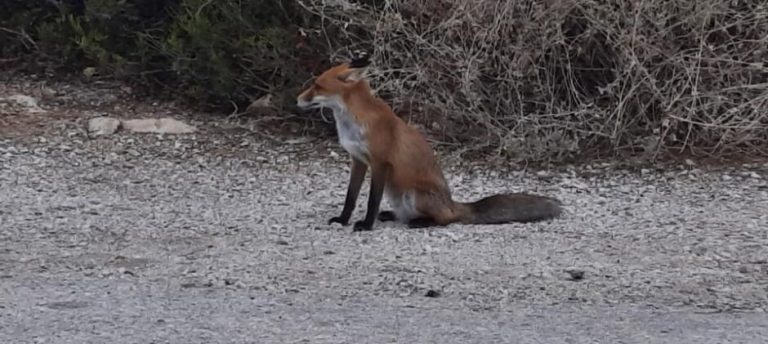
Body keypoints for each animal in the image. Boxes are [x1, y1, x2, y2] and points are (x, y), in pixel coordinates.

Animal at [296, 53, 560, 231]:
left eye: (317, 85)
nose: (297, 100)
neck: (353, 122)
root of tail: (452, 204)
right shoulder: (358, 160)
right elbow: (350, 197)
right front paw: (343, 220)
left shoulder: (380, 162)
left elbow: (372, 200)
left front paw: (366, 225)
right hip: (398, 194)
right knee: (406, 214)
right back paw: (394, 216)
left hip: (414, 193)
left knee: (446, 220)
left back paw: (422, 222)